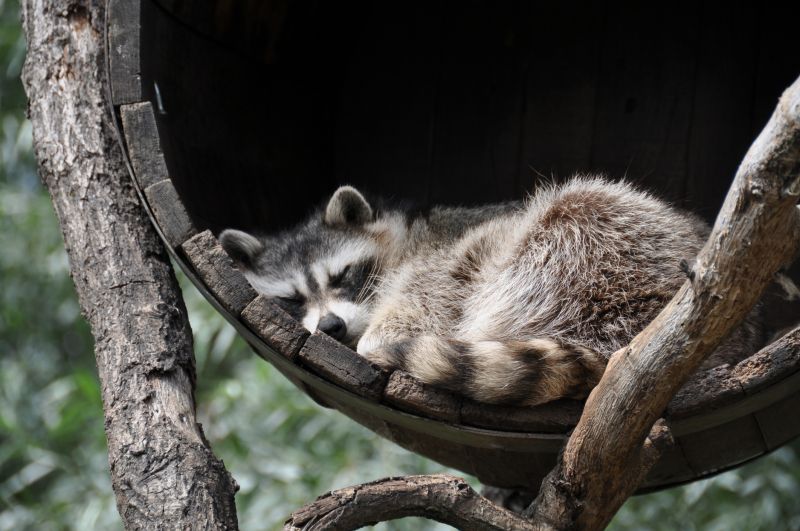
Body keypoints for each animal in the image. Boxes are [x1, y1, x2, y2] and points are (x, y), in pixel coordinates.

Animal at [220, 177, 762, 406]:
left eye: (342, 276)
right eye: (292, 301)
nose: (331, 327)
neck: (403, 239)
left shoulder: (433, 262)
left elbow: (416, 308)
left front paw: (375, 335)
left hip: (595, 253)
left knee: (568, 207)